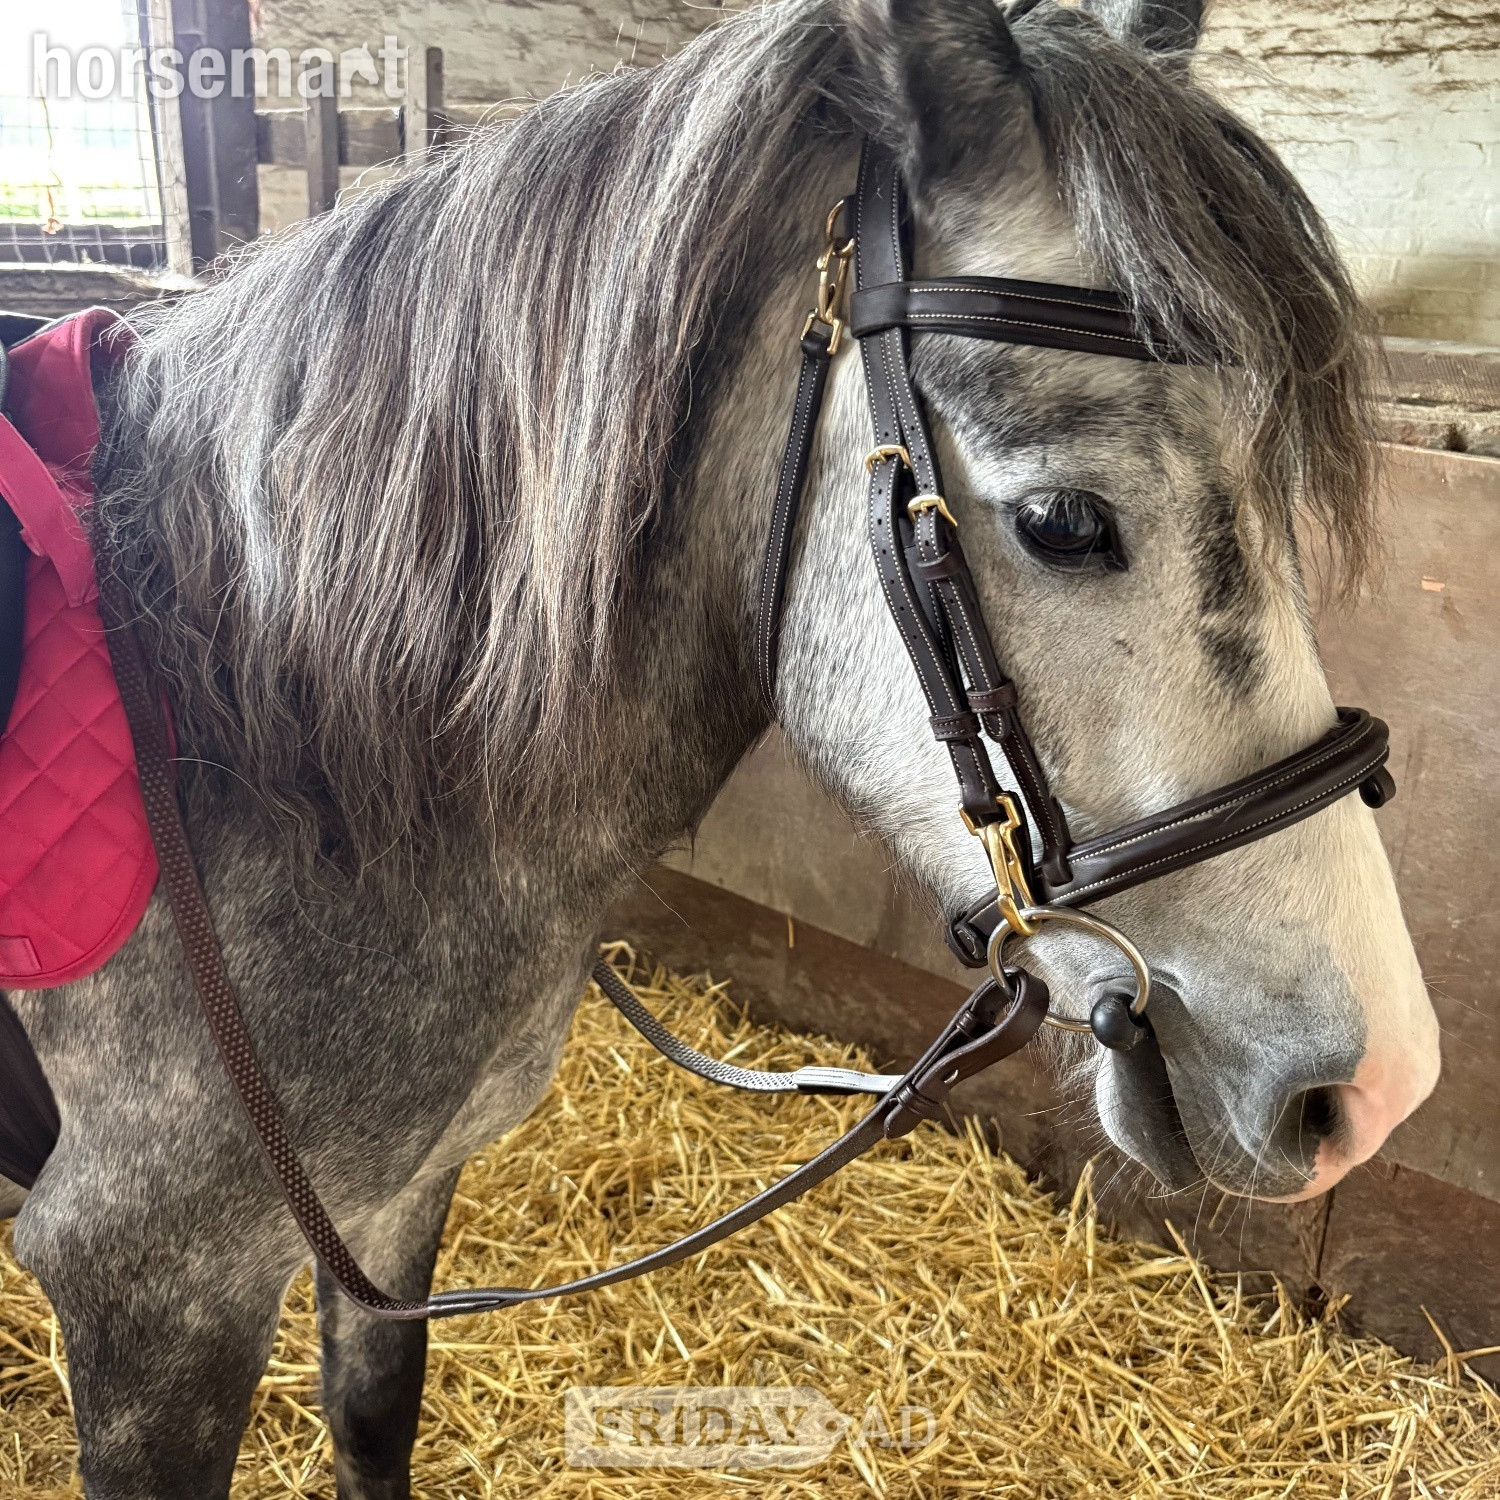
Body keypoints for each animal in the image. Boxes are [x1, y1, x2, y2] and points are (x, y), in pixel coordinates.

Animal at [3, 0, 1440, 1492]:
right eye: (1064, 522)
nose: (1380, 1083)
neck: (266, 747)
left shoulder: (396, 1203)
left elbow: (374, 1419)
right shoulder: (152, 1296)